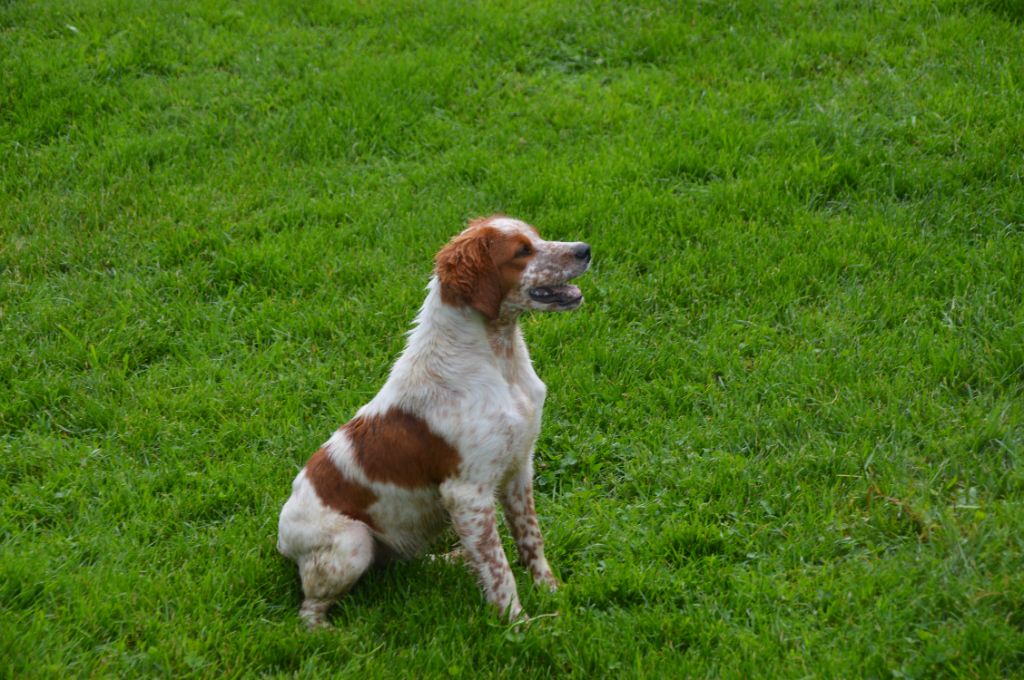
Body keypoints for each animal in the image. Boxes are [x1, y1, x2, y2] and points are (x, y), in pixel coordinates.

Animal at [276, 214, 593, 626]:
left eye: (538, 237)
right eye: (522, 251)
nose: (585, 249)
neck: (500, 361)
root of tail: (281, 539)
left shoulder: (519, 467)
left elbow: (530, 540)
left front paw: (553, 593)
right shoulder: (468, 493)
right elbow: (499, 568)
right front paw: (518, 625)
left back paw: (450, 560)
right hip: (352, 542)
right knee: (308, 609)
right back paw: (331, 633)